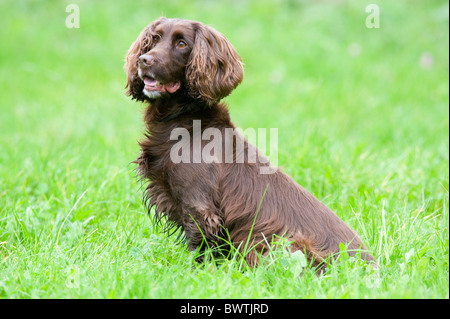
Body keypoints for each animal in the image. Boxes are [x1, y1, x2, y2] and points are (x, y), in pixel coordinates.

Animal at [123, 17, 372, 272]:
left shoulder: (200, 207)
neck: (185, 120)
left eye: (182, 43)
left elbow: (199, 248)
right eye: (154, 38)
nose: (144, 60)